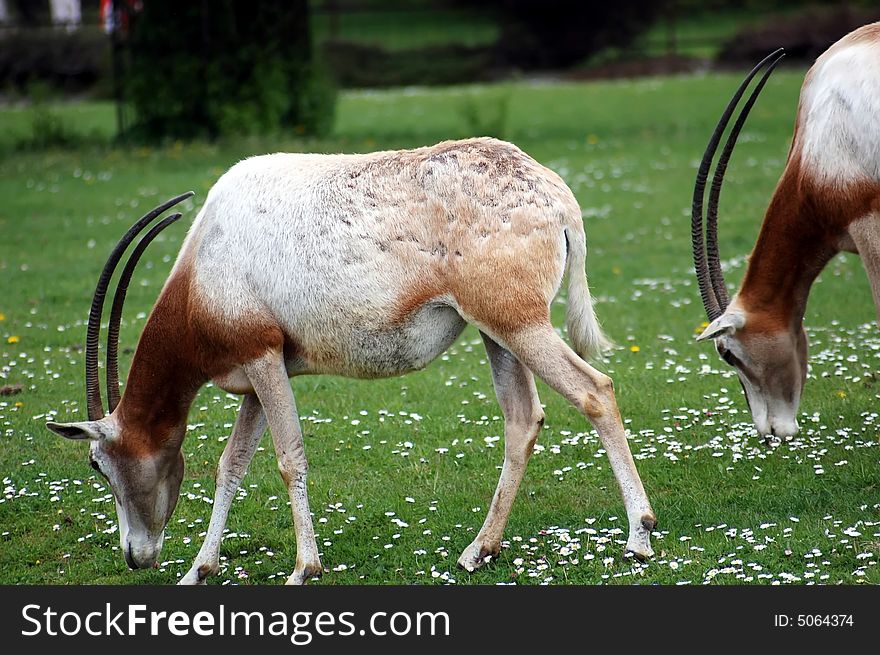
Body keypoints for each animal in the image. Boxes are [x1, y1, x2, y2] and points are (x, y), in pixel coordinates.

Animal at [46, 135, 652, 584]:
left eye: (98, 463)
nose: (135, 555)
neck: (205, 264)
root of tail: (555, 194)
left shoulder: (262, 358)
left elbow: (288, 458)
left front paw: (303, 569)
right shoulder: (261, 369)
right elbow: (231, 465)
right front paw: (199, 569)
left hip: (520, 325)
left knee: (595, 391)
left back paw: (639, 537)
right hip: (497, 333)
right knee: (523, 418)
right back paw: (479, 550)